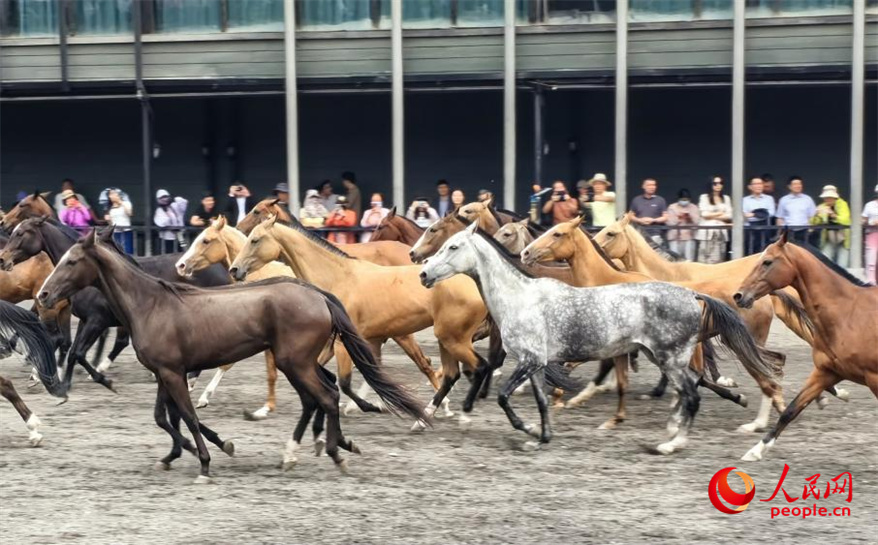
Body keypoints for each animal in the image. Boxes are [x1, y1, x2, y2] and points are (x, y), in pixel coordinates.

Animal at [38, 230, 426, 481]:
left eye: (72, 261)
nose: (43, 295)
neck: (150, 305)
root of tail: (319, 295)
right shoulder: (166, 372)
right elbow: (165, 418)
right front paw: (178, 454)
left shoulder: (173, 373)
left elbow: (187, 417)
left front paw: (206, 461)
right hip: (297, 363)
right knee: (318, 397)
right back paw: (318, 448)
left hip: (295, 362)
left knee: (327, 396)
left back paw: (332, 453)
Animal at [420, 220, 781, 454]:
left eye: (453, 246)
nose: (423, 273)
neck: (520, 297)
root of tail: (693, 296)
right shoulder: (534, 364)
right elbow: (540, 402)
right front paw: (541, 436)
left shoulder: (530, 361)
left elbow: (504, 397)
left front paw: (528, 430)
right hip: (663, 358)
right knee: (691, 390)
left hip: (670, 359)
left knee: (692, 395)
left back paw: (671, 443)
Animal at [734, 231, 878, 461]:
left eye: (767, 261)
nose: (739, 295)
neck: (849, 314)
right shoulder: (825, 372)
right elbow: (790, 411)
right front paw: (755, 451)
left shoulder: (874, 378)